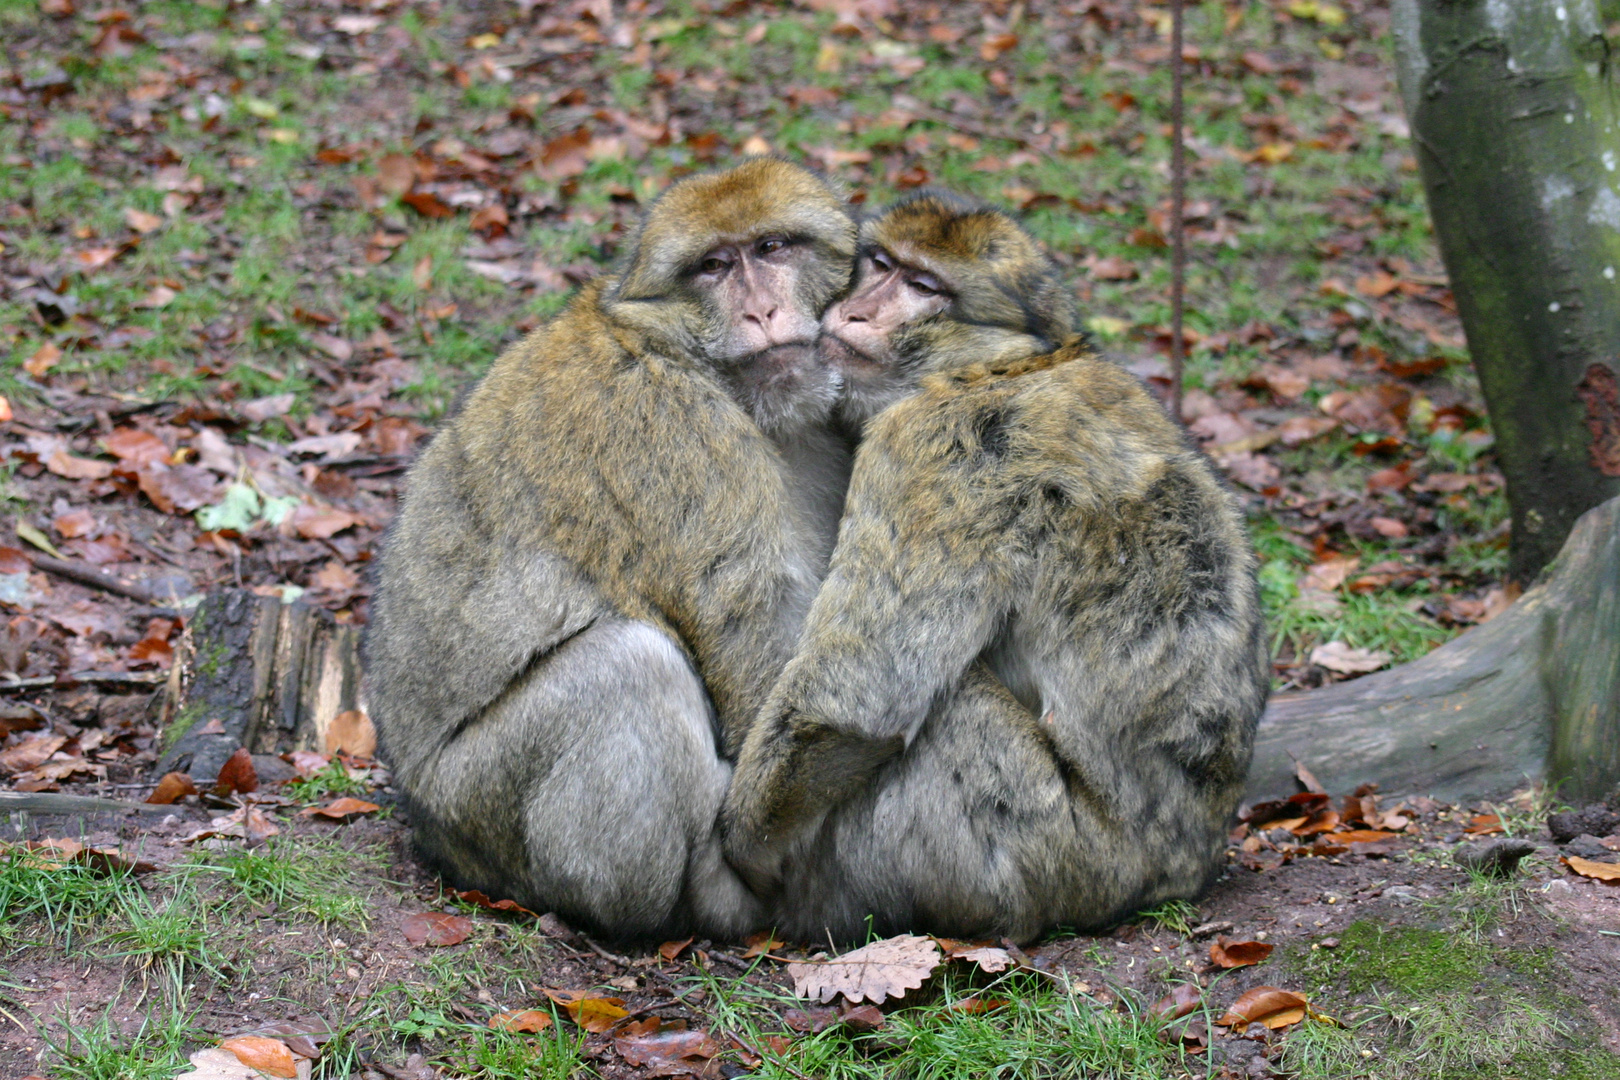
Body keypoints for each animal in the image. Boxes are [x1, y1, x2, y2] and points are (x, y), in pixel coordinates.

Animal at [367, 158, 861, 939]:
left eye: (773, 248)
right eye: (715, 266)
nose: (760, 312)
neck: (690, 354)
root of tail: (434, 835)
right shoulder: (671, 427)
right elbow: (756, 648)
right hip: (483, 808)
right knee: (629, 664)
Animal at [719, 190, 1263, 939]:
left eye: (924, 287)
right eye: (881, 264)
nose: (857, 312)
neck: (997, 368)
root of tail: (1184, 869)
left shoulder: (933, 448)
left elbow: (856, 700)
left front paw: (749, 842)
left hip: (1051, 850)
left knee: (944, 707)